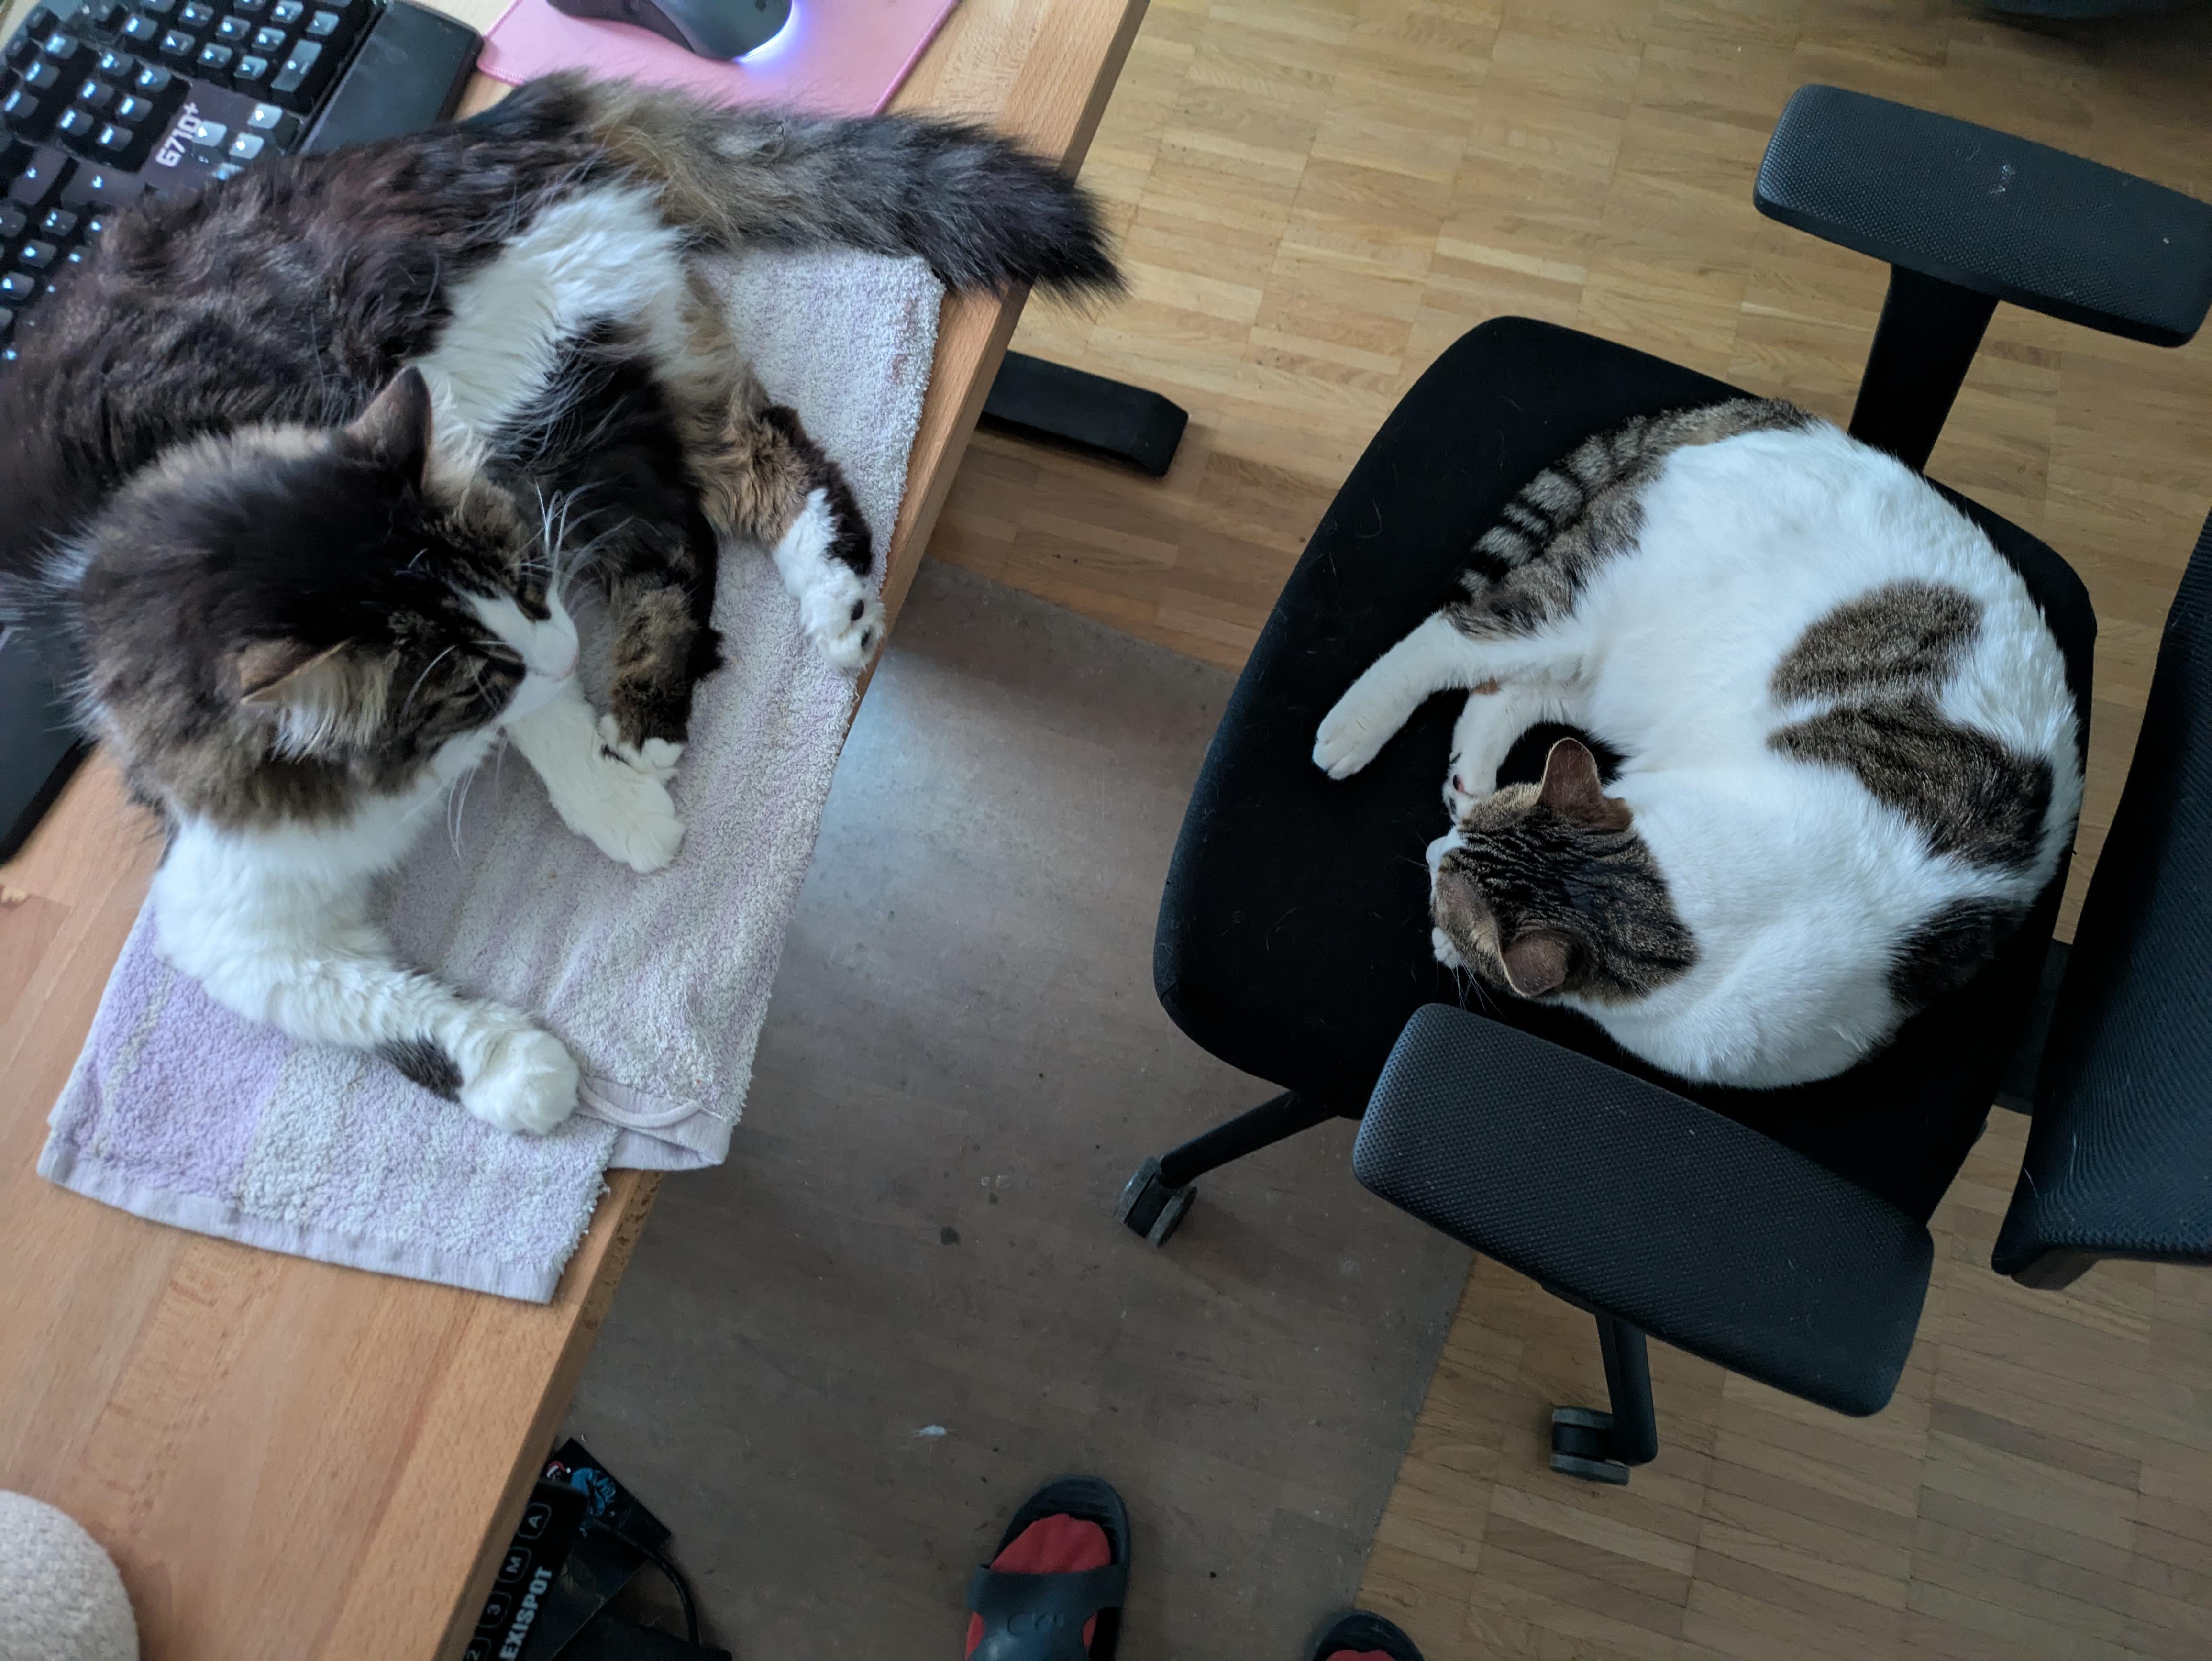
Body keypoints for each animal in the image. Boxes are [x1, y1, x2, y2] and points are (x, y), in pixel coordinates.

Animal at [0, 73, 1118, 1134]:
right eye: (467, 680)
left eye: (524, 585)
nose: (561, 645)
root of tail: (496, 123)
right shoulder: (224, 895)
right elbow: (358, 1008)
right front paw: (519, 1075)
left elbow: (547, 725)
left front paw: (618, 808)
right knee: (748, 463)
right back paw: (820, 610)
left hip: (530, 380)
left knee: (700, 512)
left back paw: (683, 692)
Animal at [1311, 400, 2083, 1089]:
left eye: (1446, 885)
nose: (1439, 847)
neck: (1702, 907)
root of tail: (1768, 415)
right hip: (1584, 612)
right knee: (1456, 633)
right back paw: (1353, 727)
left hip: (1620, 677)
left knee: (1506, 687)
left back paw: (1467, 772)